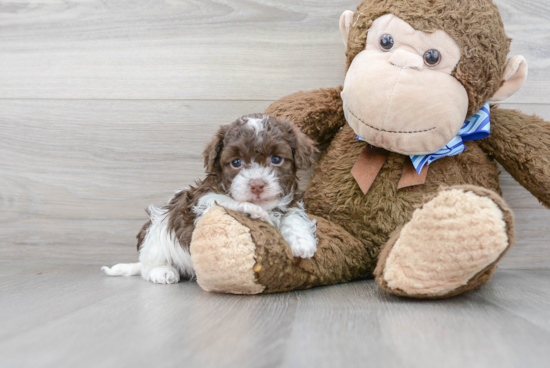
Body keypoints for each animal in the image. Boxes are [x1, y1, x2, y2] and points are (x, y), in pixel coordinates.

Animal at [103, 113, 320, 284]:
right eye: (236, 162)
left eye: (276, 159)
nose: (257, 185)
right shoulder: (199, 201)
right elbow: (222, 201)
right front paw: (250, 210)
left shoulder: (290, 203)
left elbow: (293, 216)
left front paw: (302, 242)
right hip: (155, 236)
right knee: (149, 266)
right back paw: (163, 272)